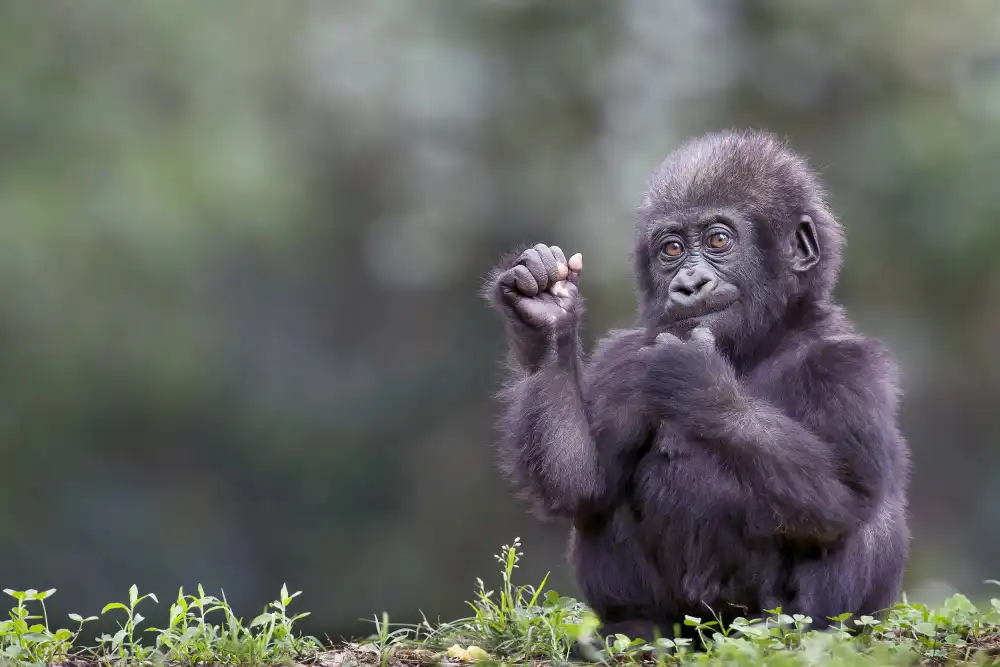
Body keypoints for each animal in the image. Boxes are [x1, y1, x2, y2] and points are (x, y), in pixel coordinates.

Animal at [481, 129, 910, 643]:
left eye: (719, 239)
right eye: (671, 250)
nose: (690, 283)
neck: (760, 343)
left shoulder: (849, 367)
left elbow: (848, 494)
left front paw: (698, 380)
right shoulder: (624, 359)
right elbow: (582, 483)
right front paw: (545, 316)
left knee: (860, 525)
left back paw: (804, 628)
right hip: (686, 621)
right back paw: (635, 624)